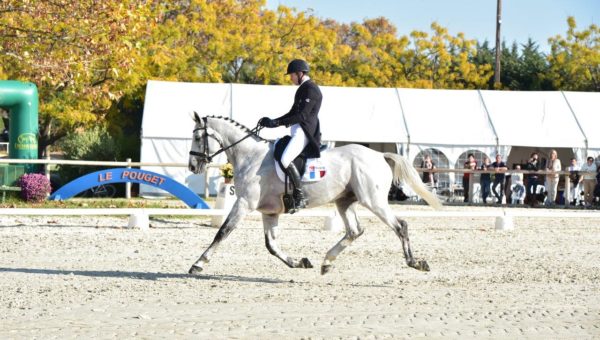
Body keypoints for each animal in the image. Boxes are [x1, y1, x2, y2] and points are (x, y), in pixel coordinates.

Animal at [188, 113, 440, 274]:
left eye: (198, 137)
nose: (192, 166)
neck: (251, 156)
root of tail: (380, 155)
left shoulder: (244, 203)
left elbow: (222, 231)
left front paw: (198, 263)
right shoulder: (269, 211)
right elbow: (271, 245)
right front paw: (299, 262)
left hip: (373, 200)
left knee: (400, 226)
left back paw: (416, 263)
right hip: (345, 201)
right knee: (354, 231)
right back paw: (326, 262)